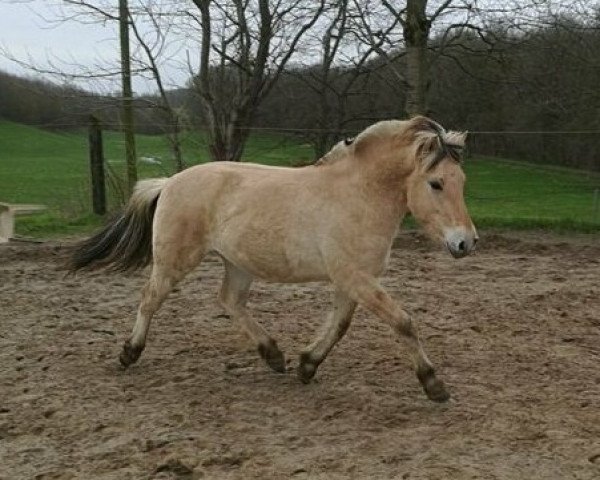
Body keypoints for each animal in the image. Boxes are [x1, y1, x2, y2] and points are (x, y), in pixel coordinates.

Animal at [69, 115, 478, 402]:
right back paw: (129, 353)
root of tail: (168, 182)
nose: (466, 242)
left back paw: (273, 355)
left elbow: (340, 325)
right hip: (175, 261)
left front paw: (307, 365)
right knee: (150, 299)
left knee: (229, 301)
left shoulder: (353, 279)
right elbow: (403, 322)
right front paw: (434, 385)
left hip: (237, 263)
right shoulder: (355, 277)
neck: (358, 195)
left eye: (462, 182)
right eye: (436, 183)